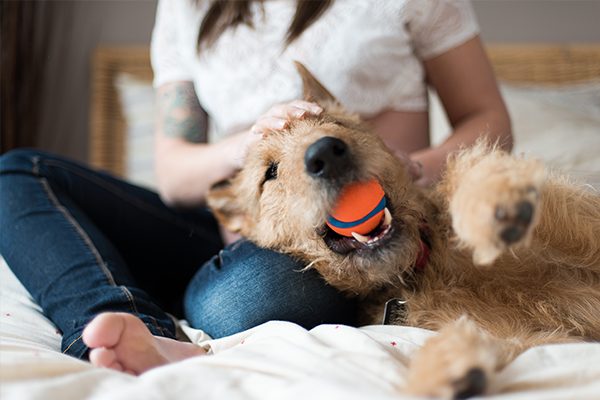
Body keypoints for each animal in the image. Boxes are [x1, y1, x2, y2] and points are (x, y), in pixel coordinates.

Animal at [207, 64, 600, 398]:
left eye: (335, 123)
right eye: (270, 172)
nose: (326, 153)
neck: (418, 270)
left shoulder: (583, 225)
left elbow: (463, 174)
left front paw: (492, 199)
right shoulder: (545, 340)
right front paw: (444, 368)